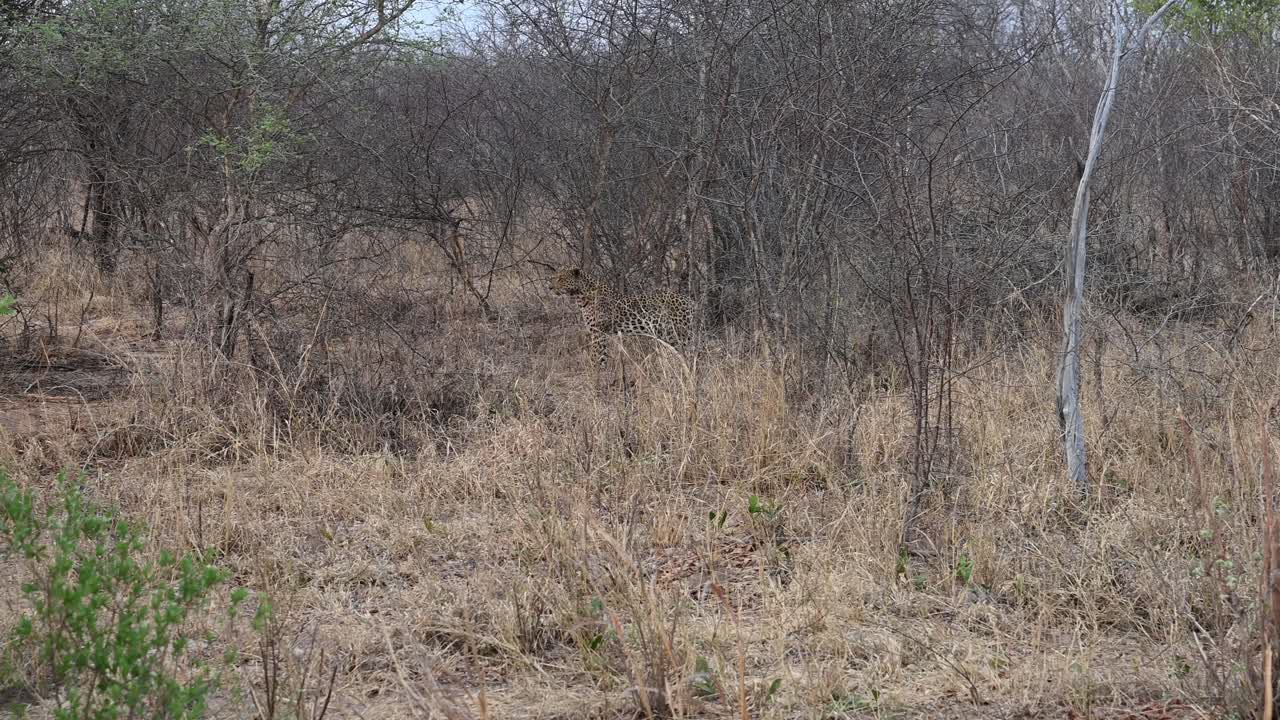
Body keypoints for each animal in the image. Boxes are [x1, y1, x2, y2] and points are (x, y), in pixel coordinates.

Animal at [548, 267, 695, 368]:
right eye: (553, 277)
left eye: (560, 279)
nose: (549, 287)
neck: (580, 295)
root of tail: (689, 300)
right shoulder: (602, 333)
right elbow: (602, 357)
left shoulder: (598, 332)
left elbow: (595, 356)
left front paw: (593, 374)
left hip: (679, 334)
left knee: (692, 354)